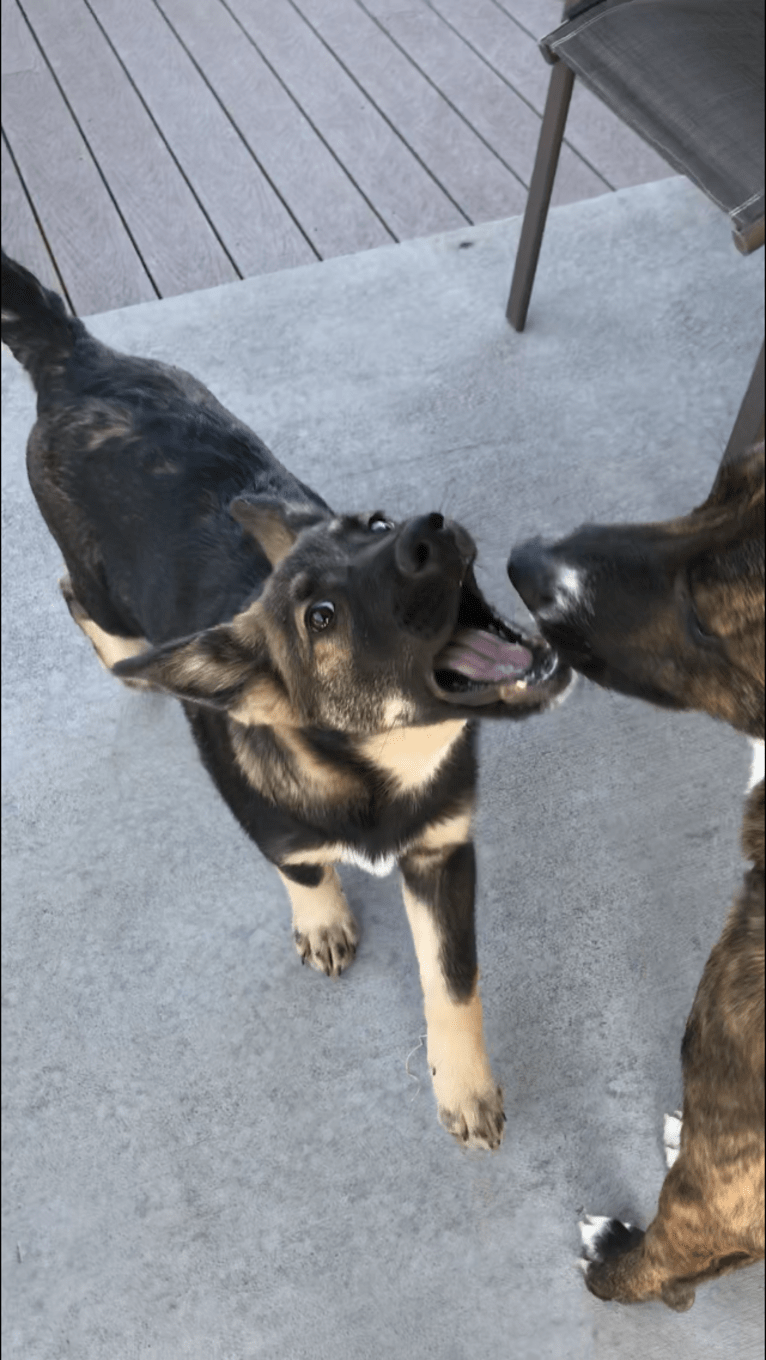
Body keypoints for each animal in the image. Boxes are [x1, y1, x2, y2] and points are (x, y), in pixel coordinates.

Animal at [2, 252, 571, 1147]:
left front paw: (464, 1087)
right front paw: (322, 918)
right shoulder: (273, 820)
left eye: (376, 523)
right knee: (74, 596)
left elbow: (453, 980)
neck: (380, 766)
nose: (430, 528)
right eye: (321, 618)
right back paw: (132, 664)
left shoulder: (443, 854)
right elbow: (299, 863)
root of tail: (75, 357)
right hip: (98, 583)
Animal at [506, 437, 761, 1305]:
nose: (522, 562)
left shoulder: (728, 1175)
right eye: (722, 487)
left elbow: (668, 1252)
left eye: (708, 607)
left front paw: (615, 1261)